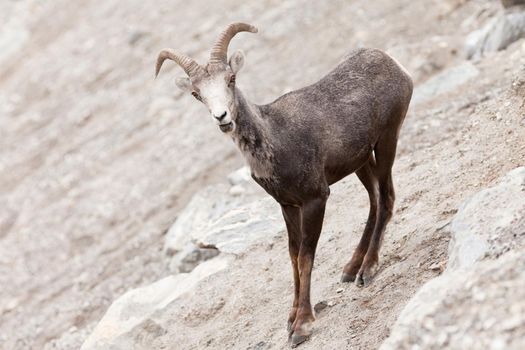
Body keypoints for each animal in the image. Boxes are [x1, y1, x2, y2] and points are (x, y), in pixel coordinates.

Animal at [156, 22, 414, 348]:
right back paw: (351, 268)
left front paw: (302, 326)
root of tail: (394, 65)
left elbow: (305, 257)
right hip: (361, 162)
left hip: (387, 141)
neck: (275, 140)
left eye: (231, 79)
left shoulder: (316, 199)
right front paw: (290, 321)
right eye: (196, 93)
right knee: (375, 200)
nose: (222, 117)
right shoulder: (288, 206)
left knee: (387, 198)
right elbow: (292, 258)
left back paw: (367, 270)